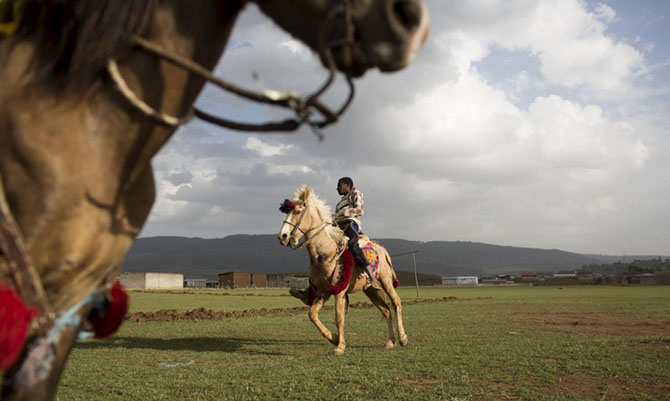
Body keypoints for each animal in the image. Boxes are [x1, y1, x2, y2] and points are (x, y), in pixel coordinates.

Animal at [280, 186, 410, 354]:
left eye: (297, 211)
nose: (282, 236)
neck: (326, 253)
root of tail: (381, 249)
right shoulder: (322, 291)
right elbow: (312, 315)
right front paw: (334, 338)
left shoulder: (339, 291)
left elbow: (339, 318)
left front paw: (340, 346)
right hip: (370, 290)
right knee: (386, 310)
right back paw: (390, 341)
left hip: (386, 281)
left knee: (396, 303)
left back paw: (403, 338)